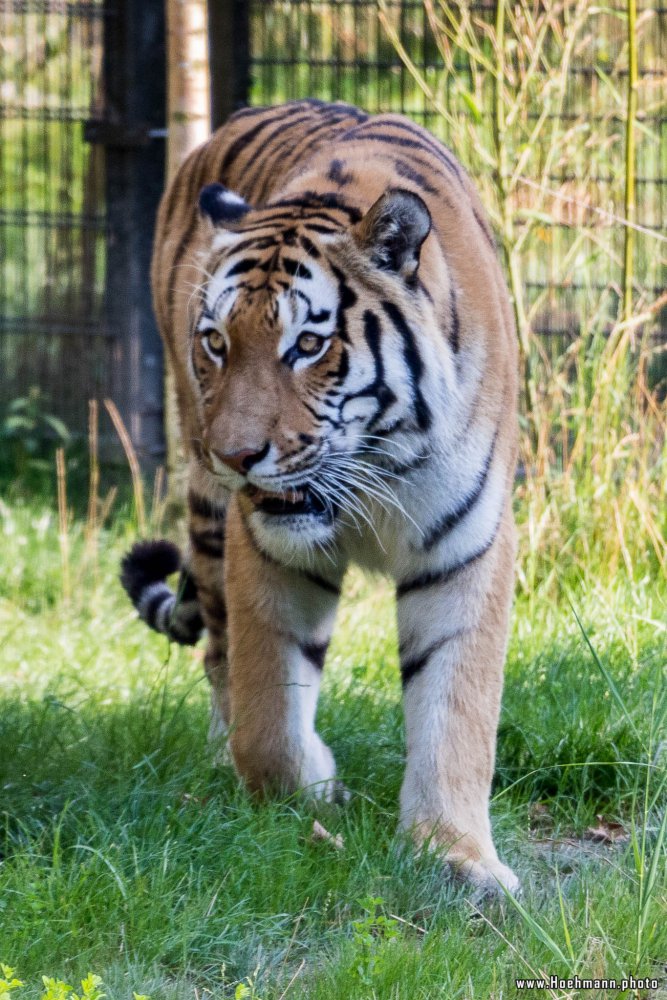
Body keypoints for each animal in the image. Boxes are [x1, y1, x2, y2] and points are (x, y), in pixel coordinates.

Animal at [120, 99, 520, 900]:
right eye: (216, 342)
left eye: (307, 345)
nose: (235, 456)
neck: (380, 463)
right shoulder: (265, 547)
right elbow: (267, 712)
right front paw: (306, 791)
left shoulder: (468, 547)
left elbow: (456, 710)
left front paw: (456, 856)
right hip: (209, 520)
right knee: (219, 658)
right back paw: (223, 754)